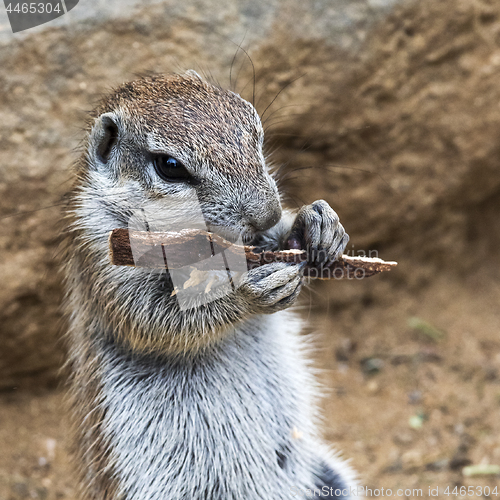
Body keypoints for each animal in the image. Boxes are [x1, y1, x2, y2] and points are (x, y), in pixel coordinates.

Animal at [64, 71, 358, 500]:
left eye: (255, 130)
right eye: (169, 166)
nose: (268, 215)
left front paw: (316, 222)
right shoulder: (102, 260)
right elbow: (155, 319)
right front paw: (248, 294)